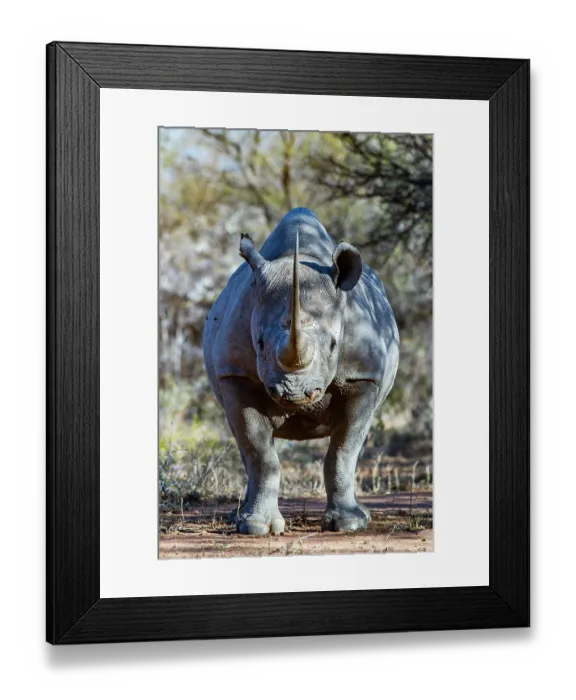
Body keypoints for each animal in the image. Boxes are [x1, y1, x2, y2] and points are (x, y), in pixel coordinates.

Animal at [203, 208, 399, 535]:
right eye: (259, 343)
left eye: (334, 345)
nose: (293, 393)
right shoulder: (236, 374)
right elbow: (259, 452)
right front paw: (257, 527)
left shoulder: (363, 376)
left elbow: (343, 452)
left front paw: (348, 524)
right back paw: (238, 517)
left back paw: (363, 516)